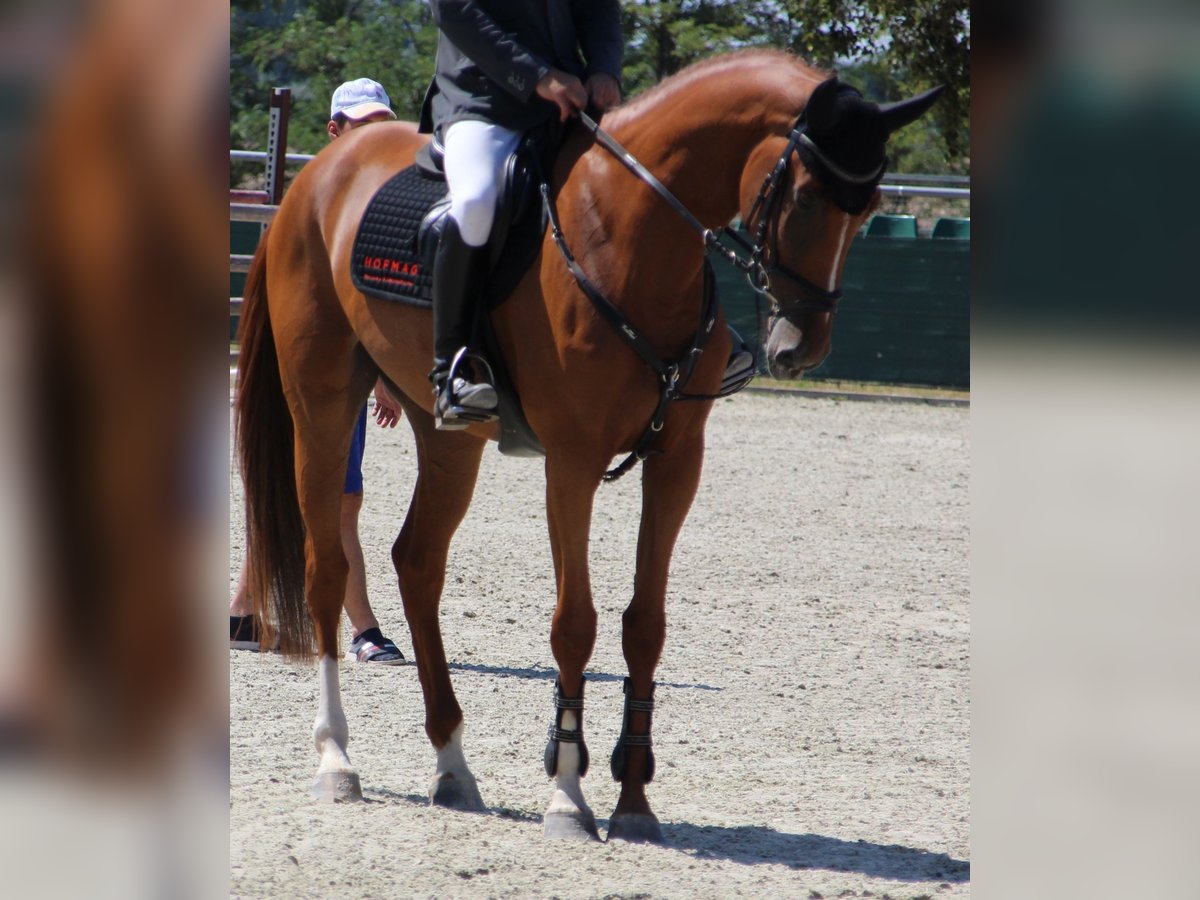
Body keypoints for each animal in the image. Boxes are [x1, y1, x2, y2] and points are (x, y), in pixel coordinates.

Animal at [234, 47, 940, 840]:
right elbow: (575, 624)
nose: (800, 347)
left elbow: (645, 624)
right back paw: (336, 759)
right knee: (326, 567)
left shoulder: (677, 462)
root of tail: (316, 176)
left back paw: (452, 764)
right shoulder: (572, 462)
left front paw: (633, 799)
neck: (633, 233)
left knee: (417, 563)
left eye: (870, 211)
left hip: (447, 437)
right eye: (810, 199)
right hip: (323, 405)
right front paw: (568, 794)